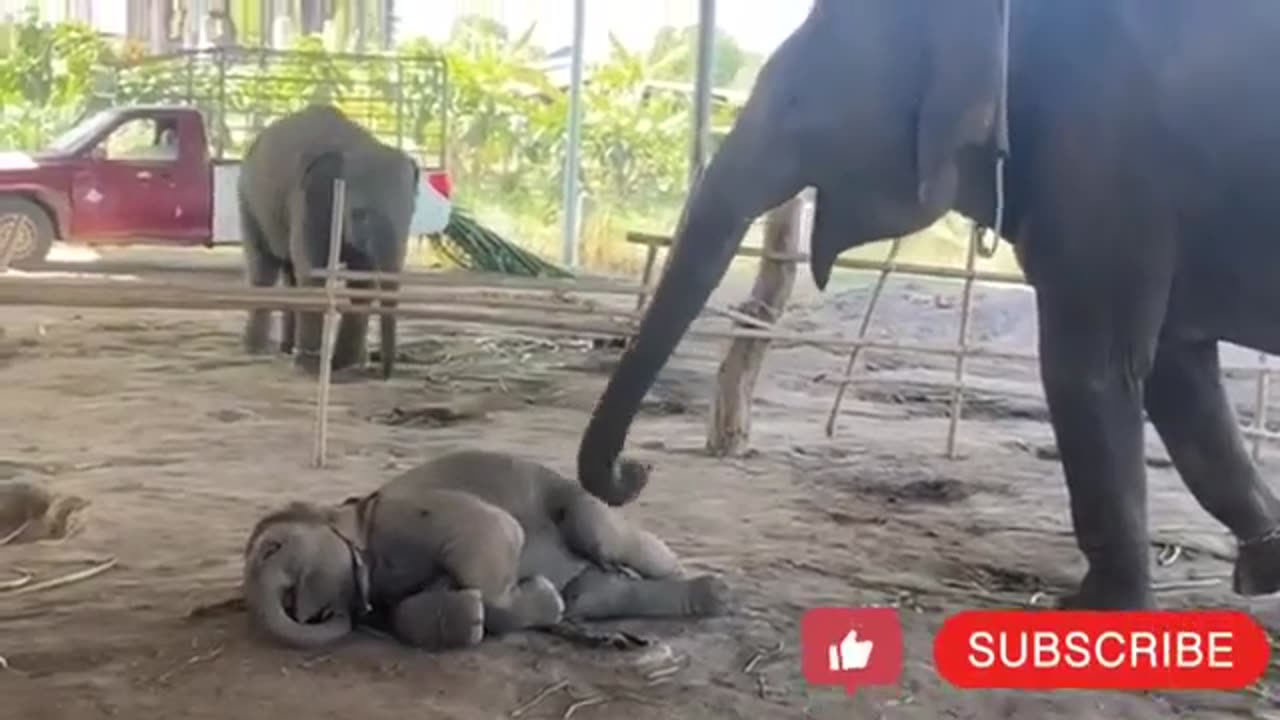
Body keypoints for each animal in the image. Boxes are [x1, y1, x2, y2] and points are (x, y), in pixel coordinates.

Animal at [238, 105, 417, 381]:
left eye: (413, 213)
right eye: (360, 214)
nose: (383, 373)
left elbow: (362, 281)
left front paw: (345, 364)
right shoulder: (309, 202)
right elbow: (314, 272)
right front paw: (311, 368)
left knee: (291, 273)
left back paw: (287, 349)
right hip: (249, 204)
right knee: (264, 268)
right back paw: (256, 351)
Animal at [576, 1, 1280, 609]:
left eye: (801, 106)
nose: (636, 471)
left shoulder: (1104, 159)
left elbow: (1091, 371)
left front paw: (1091, 612)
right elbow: (1176, 373)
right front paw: (1263, 573)